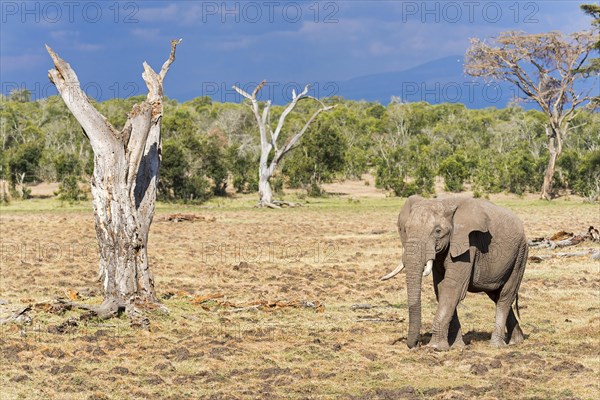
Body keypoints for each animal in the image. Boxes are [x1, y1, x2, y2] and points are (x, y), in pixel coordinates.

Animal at [382, 195, 528, 350]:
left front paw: (435, 347)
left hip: (520, 254)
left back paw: (496, 345)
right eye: (405, 229)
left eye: (438, 231)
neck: (444, 202)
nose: (417, 344)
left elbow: (452, 287)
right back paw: (517, 341)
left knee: (505, 296)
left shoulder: (468, 244)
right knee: (496, 295)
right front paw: (457, 346)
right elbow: (440, 287)